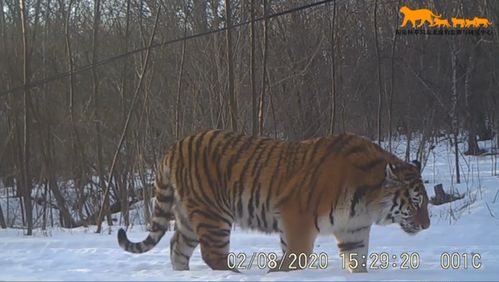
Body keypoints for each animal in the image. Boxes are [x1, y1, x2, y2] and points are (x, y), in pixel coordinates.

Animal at [117, 131, 430, 274]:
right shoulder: (296, 217)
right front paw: (276, 273)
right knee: (213, 255)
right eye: (416, 203)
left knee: (177, 247)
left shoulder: (353, 229)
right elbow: (297, 255)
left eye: (425, 203)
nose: (426, 225)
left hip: (188, 216)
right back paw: (237, 274)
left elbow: (357, 260)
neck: (368, 203)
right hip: (213, 215)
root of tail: (174, 146)